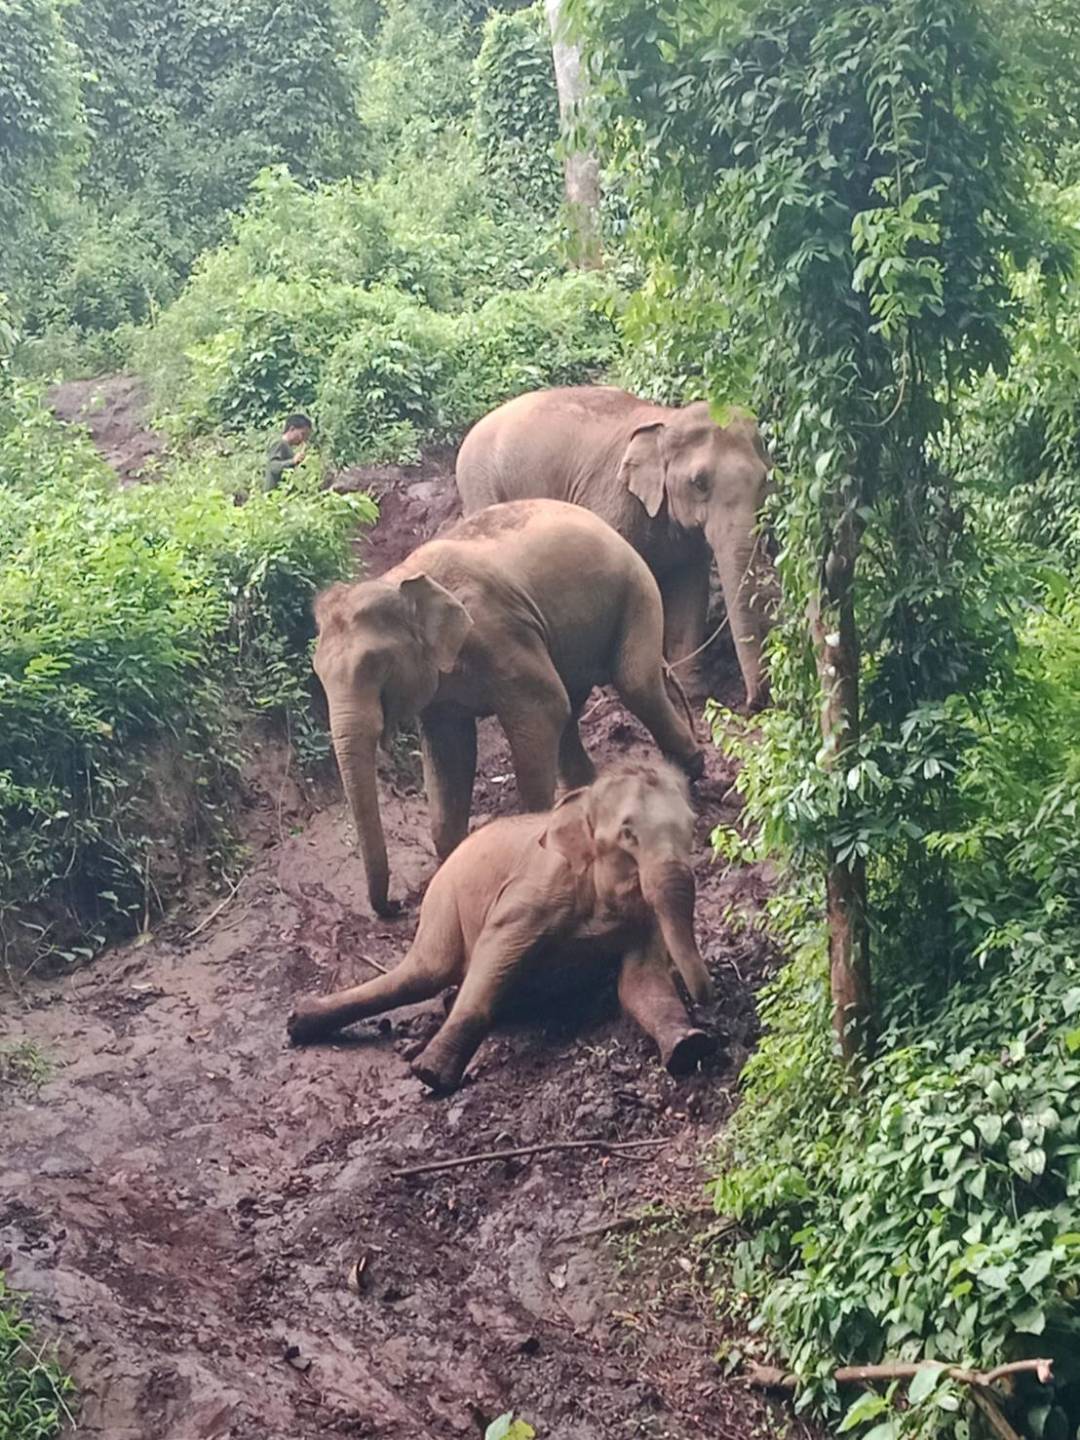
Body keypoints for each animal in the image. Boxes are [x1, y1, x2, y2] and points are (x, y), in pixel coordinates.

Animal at [287, 759, 715, 1092]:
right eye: (628, 833)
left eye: (693, 827)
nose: (708, 996)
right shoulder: (536, 891)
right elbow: (496, 953)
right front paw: (431, 1075)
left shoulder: (642, 920)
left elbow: (642, 982)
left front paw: (689, 1047)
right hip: (442, 902)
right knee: (423, 973)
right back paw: (299, 1022)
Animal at [314, 498, 704, 918]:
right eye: (317, 674)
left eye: (377, 666)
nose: (396, 906)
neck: (400, 579)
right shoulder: (442, 688)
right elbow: (451, 753)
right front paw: (453, 861)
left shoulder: (498, 632)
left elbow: (542, 708)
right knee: (574, 709)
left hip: (637, 588)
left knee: (634, 684)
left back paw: (689, 772)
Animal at [455, 386, 775, 708]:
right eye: (699, 482)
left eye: (764, 480)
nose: (754, 702)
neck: (668, 419)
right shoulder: (613, 498)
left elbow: (690, 589)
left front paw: (692, 694)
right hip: (480, 483)